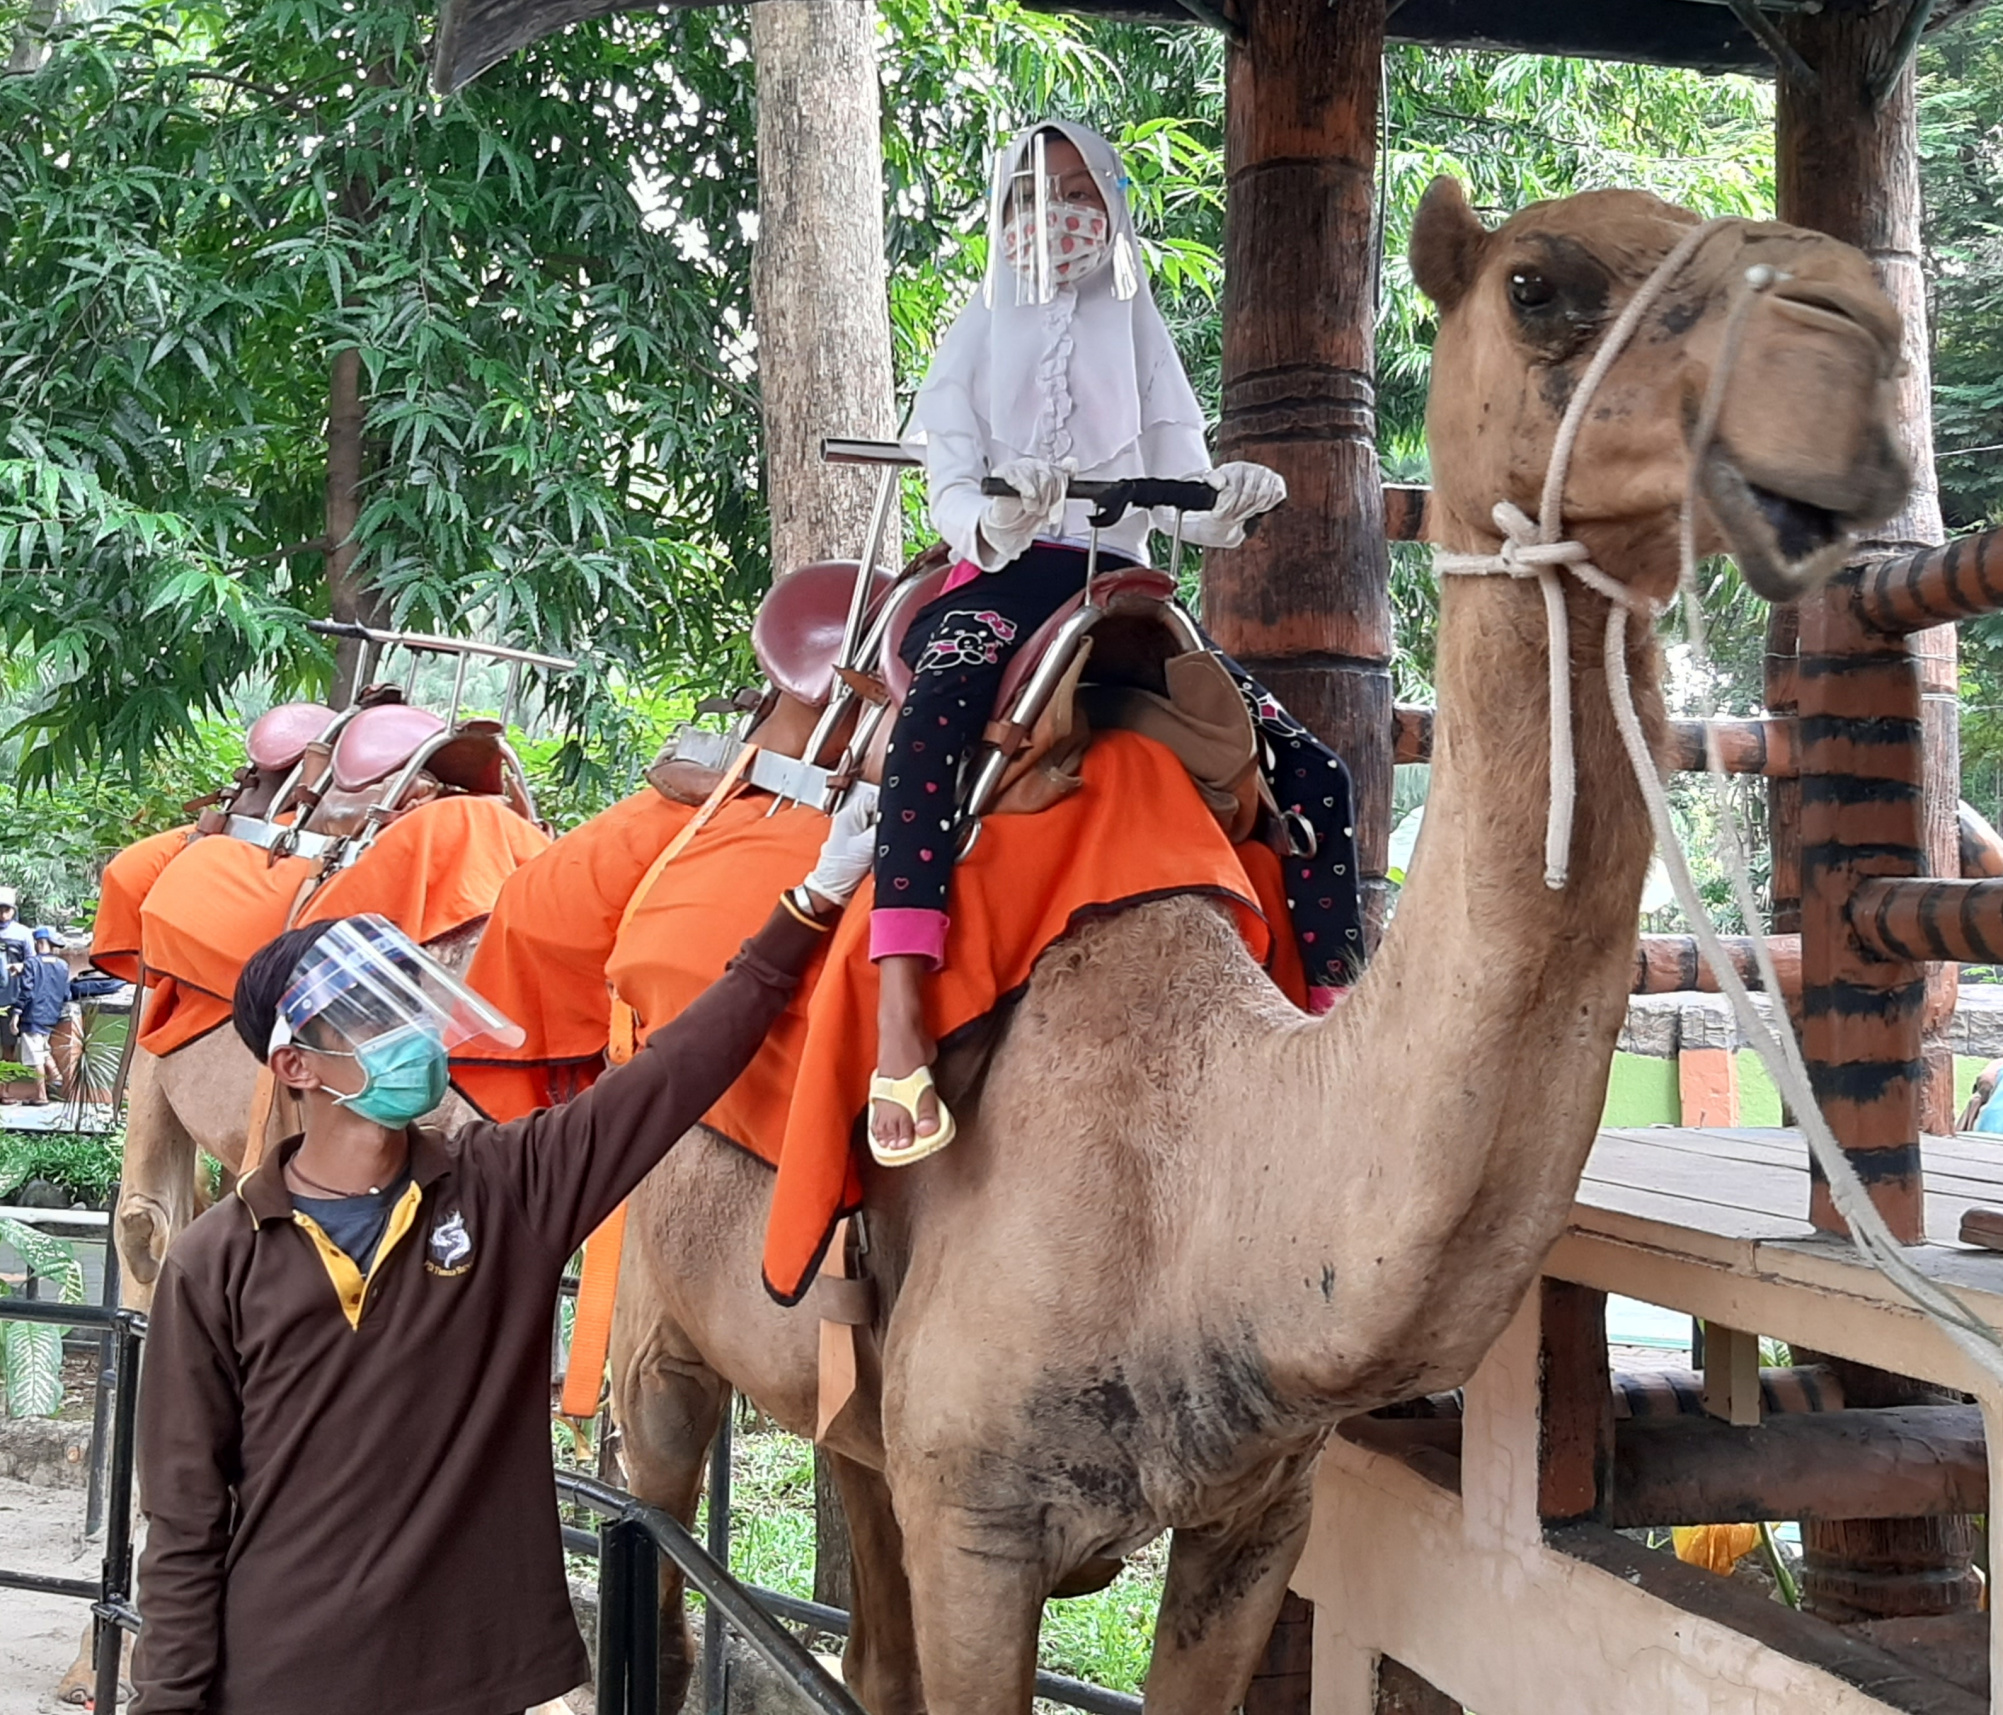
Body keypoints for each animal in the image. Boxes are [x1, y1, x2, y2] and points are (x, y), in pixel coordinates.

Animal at [596, 177, 1906, 1715]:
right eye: (1538, 284)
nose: (1855, 338)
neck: (1201, 1183)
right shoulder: (976, 1508)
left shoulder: (1254, 1507)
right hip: (654, 1320)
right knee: (655, 1549)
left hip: (841, 1396)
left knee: (861, 1624)